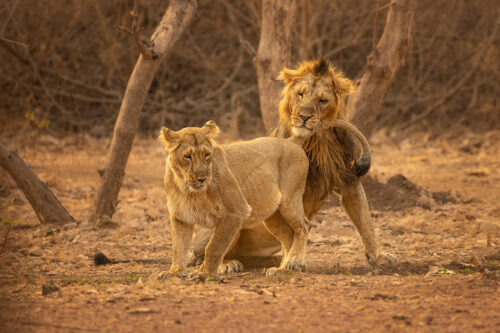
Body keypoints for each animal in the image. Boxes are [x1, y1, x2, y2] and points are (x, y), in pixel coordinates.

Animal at [159, 120, 312, 276]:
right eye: (187, 156)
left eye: (207, 154)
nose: (202, 178)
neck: (190, 191)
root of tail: (290, 141)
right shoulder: (181, 216)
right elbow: (178, 247)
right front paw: (175, 272)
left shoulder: (235, 211)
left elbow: (214, 246)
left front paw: (205, 273)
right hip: (272, 216)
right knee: (288, 236)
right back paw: (283, 269)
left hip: (290, 199)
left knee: (303, 226)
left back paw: (294, 262)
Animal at [191, 58, 394, 270]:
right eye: (300, 94)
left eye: (322, 100)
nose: (304, 116)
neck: (319, 142)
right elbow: (293, 232)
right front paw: (293, 260)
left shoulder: (349, 180)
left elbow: (365, 220)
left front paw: (379, 256)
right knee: (205, 254)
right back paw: (227, 264)